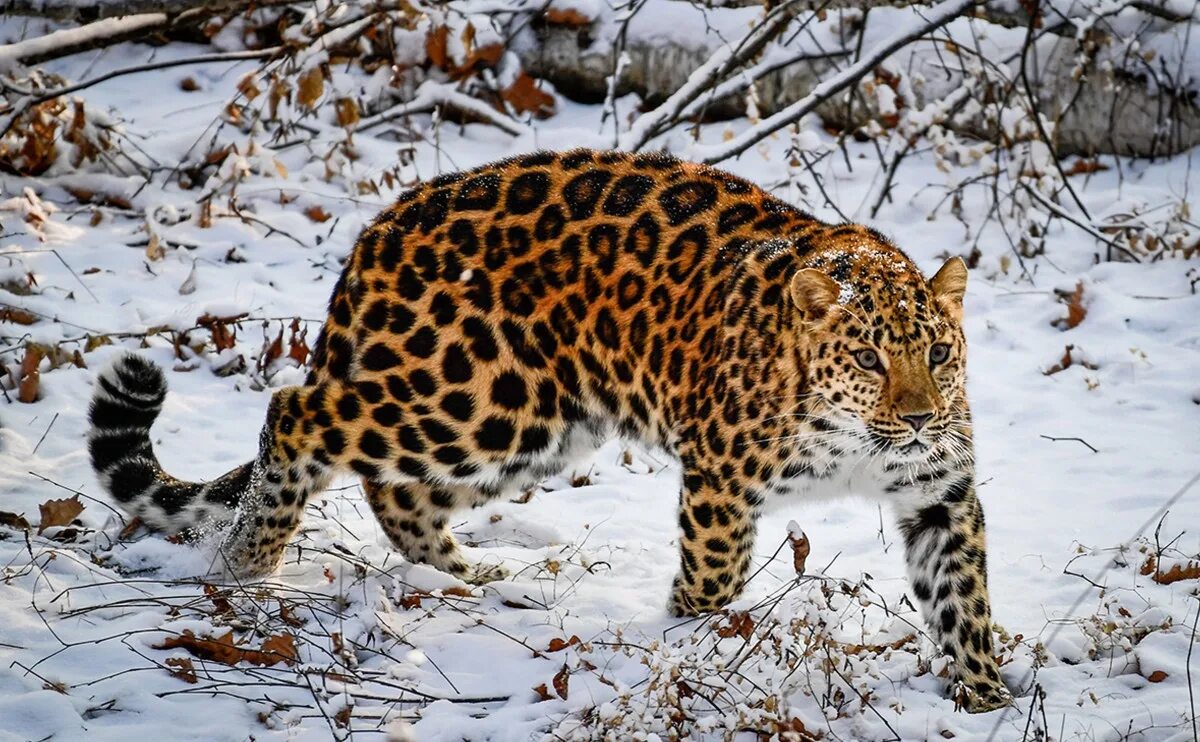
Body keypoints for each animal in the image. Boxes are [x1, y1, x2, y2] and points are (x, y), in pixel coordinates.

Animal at [88, 145, 1012, 710]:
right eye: (868, 358)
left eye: (937, 352)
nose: (920, 417)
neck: (853, 440)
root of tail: (379, 230)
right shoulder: (721, 480)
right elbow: (714, 580)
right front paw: (690, 641)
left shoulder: (940, 493)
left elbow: (963, 602)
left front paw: (983, 697)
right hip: (472, 398)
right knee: (298, 416)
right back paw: (247, 567)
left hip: (540, 425)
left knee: (398, 494)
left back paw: (477, 580)